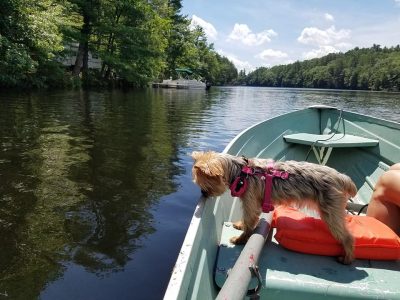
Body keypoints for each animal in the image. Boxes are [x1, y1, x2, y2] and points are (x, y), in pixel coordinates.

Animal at [192, 151, 358, 264]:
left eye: (204, 185)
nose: (202, 193)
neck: (240, 171)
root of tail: (341, 177)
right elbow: (246, 221)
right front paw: (240, 224)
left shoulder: (250, 201)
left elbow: (250, 222)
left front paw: (240, 239)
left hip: (330, 209)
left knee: (347, 237)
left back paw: (347, 258)